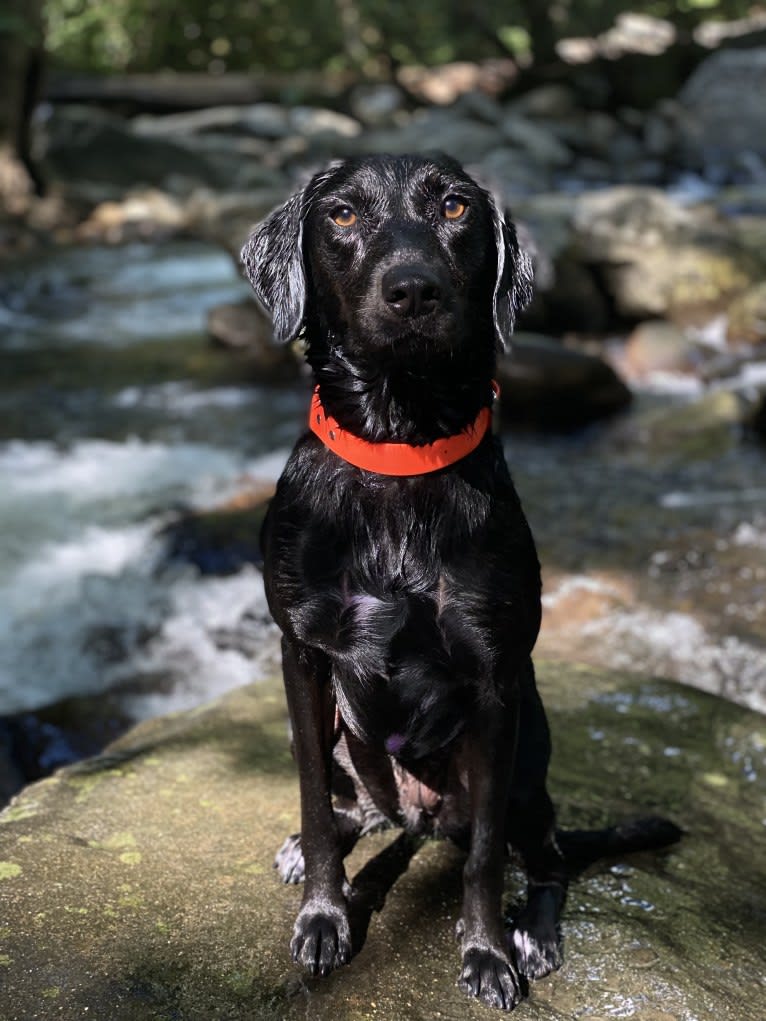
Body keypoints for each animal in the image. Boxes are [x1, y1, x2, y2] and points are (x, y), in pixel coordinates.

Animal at [241, 155, 682, 1008]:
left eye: (454, 207)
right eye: (341, 214)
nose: (412, 289)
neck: (399, 449)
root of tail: (417, 818)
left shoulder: (495, 677)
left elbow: (481, 855)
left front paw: (487, 951)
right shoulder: (301, 651)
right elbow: (312, 798)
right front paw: (325, 915)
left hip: (527, 767)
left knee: (543, 856)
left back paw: (533, 932)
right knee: (354, 809)